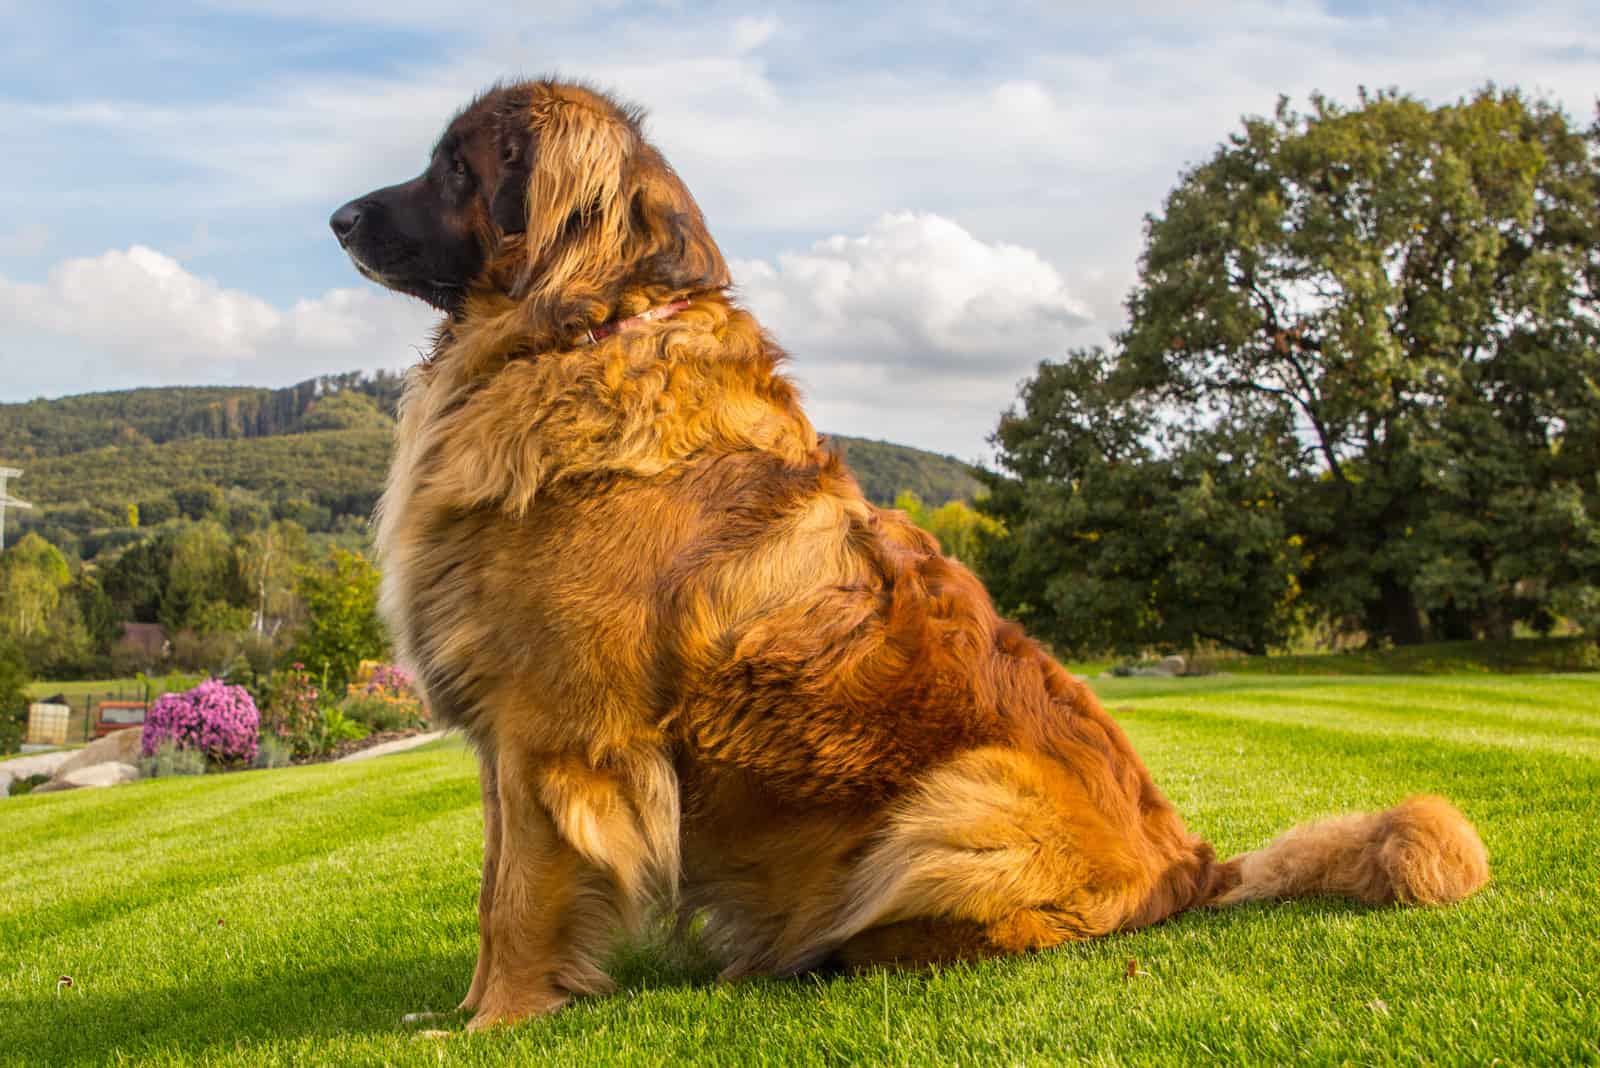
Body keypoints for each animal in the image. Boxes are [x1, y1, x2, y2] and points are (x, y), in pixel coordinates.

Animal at [331, 79, 1491, 1029]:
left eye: (456, 169)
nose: (337, 219)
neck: (587, 333)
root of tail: (1194, 866)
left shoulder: (555, 731)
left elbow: (520, 899)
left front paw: (494, 1024)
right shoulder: (510, 743)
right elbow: (493, 883)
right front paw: (460, 1012)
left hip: (958, 798)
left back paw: (828, 950)